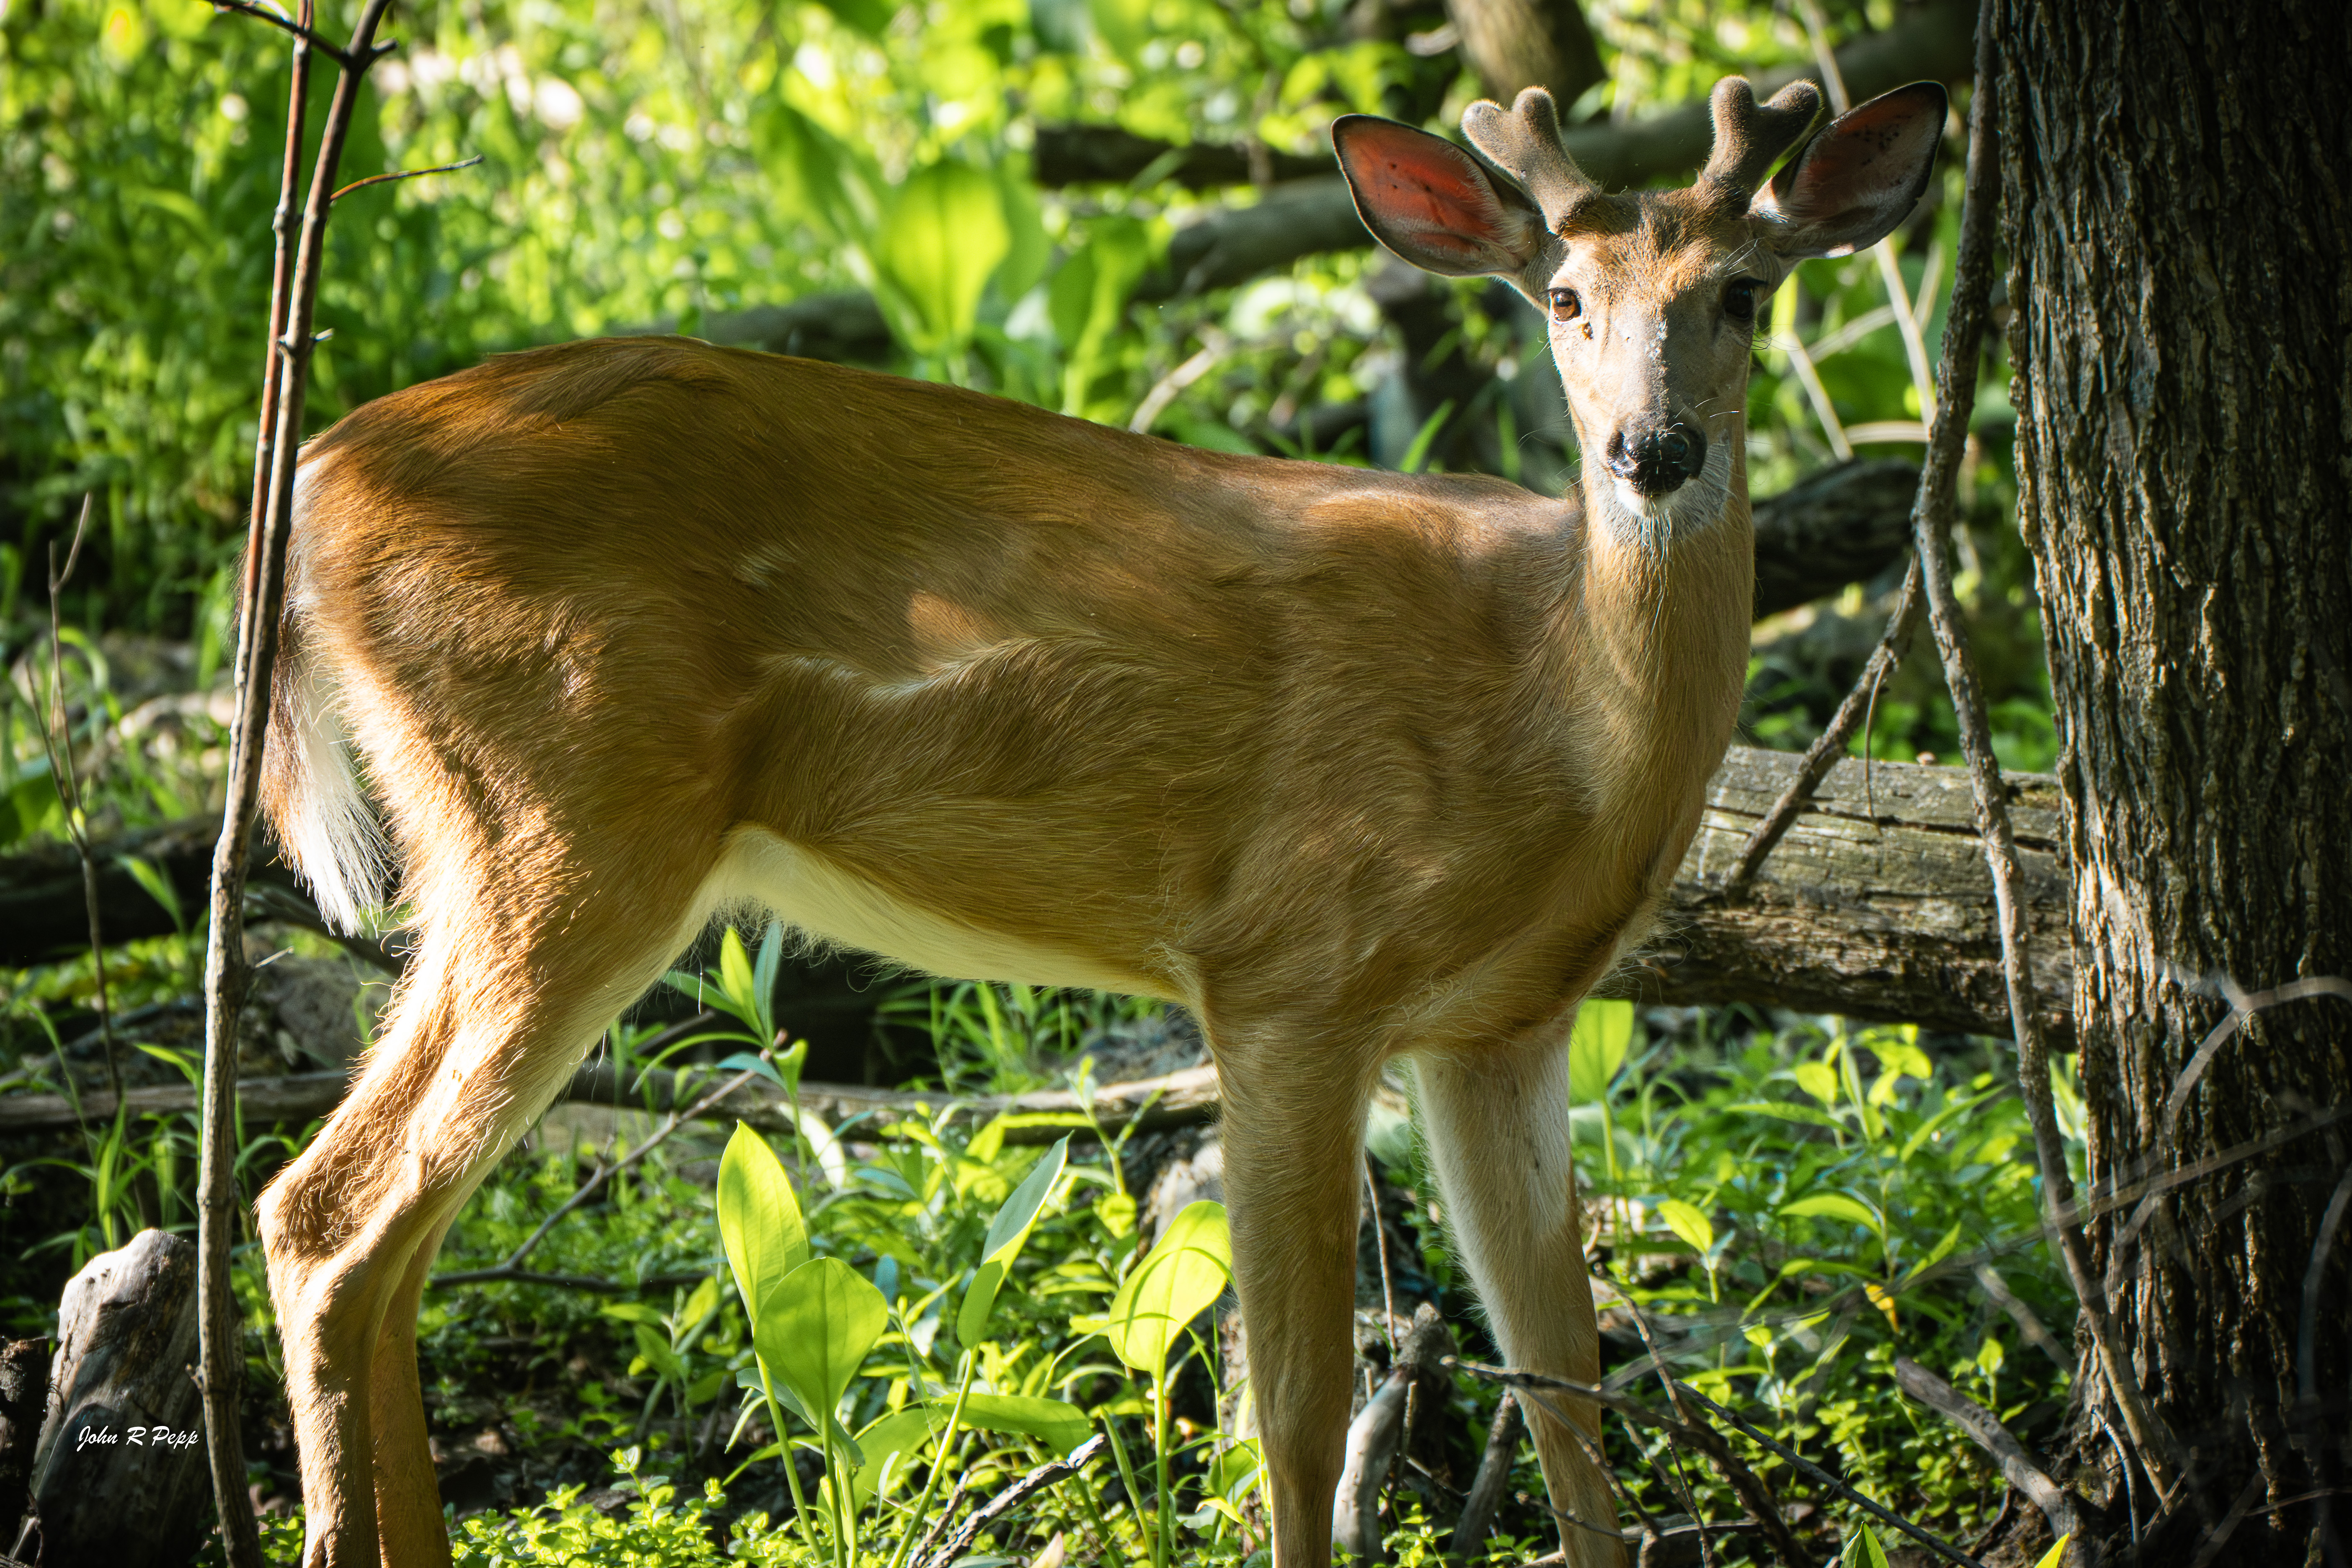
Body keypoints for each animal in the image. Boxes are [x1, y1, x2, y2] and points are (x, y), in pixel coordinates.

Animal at [251, 71, 1946, 1568]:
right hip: (561, 815)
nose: (1649, 453)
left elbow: (1570, 1393)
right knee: (327, 1214)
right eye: (1565, 300)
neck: (1552, 720)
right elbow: (1298, 1416)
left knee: (386, 1242)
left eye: (1744, 294)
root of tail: (313, 485)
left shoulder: (1503, 1026)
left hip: (504, 832)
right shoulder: (1288, 971)